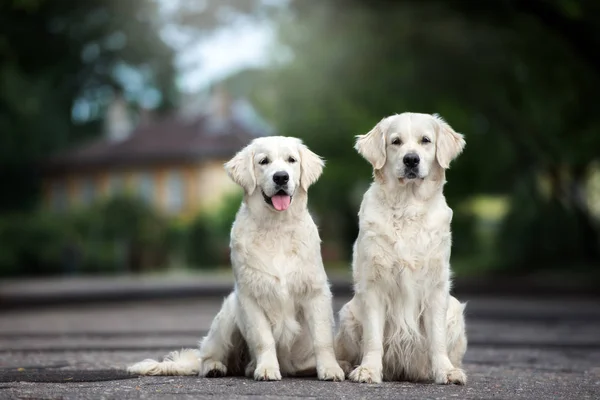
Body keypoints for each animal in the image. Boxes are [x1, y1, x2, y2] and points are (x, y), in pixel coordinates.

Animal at [127, 137, 342, 382]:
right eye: (263, 161)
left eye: (291, 160)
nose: (281, 177)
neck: (276, 227)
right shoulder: (250, 297)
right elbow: (263, 338)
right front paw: (267, 369)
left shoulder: (316, 292)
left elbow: (322, 339)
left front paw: (331, 369)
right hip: (228, 313)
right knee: (207, 356)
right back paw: (217, 368)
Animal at [336, 111, 466, 384]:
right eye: (395, 141)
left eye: (425, 140)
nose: (411, 160)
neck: (408, 206)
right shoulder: (373, 285)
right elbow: (373, 338)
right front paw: (368, 370)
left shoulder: (436, 287)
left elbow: (437, 339)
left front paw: (446, 371)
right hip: (348, 313)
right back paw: (343, 365)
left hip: (455, 312)